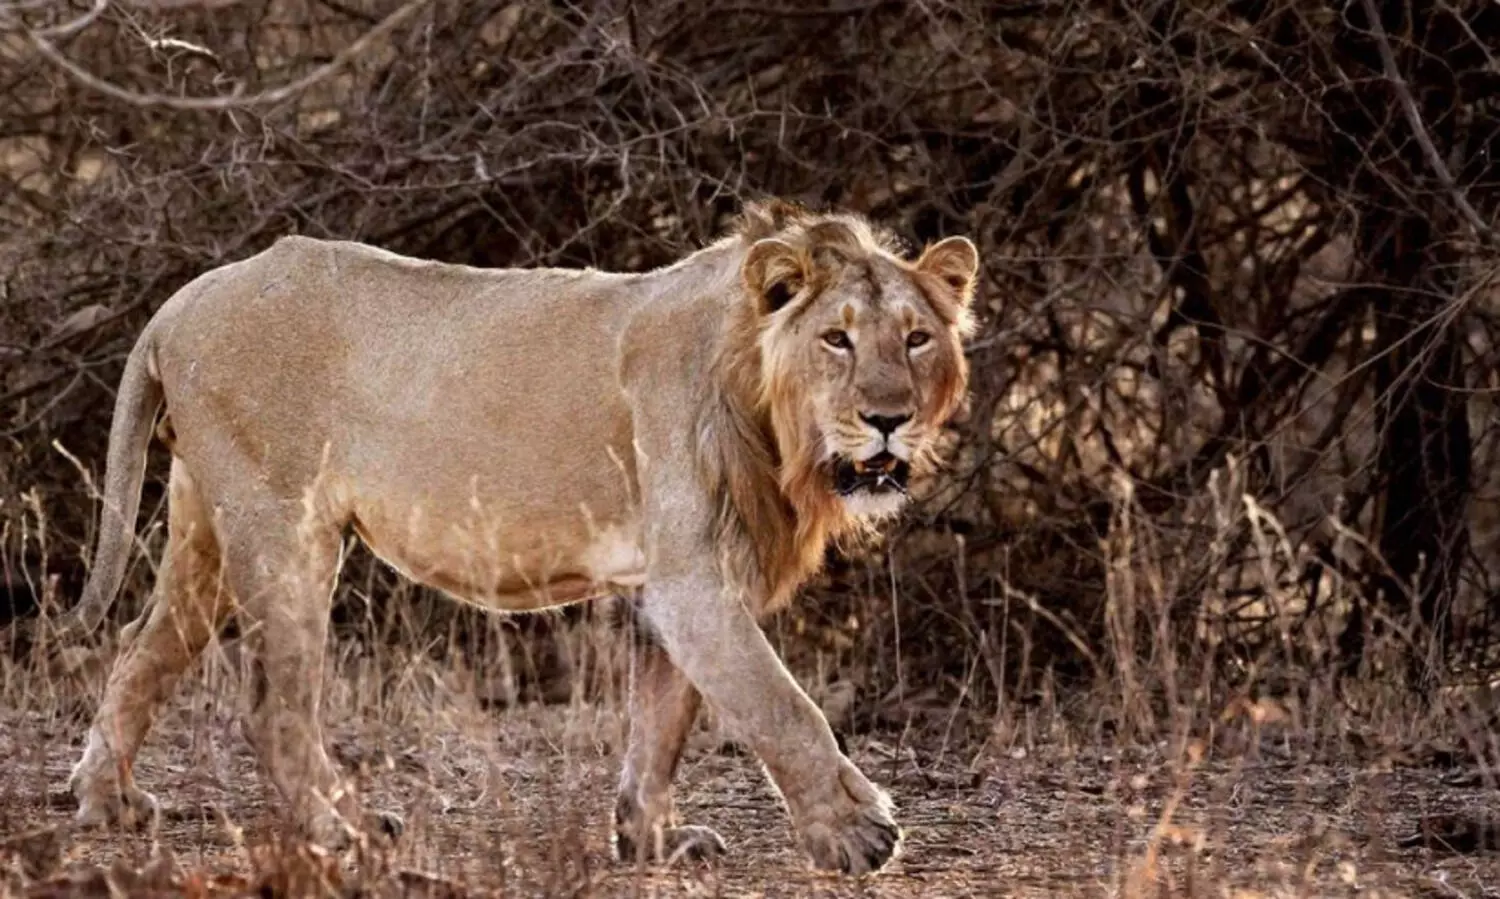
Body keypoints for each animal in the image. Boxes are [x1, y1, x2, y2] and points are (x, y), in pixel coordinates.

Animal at [60, 199, 979, 875]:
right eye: (837, 338)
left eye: (916, 338)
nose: (889, 418)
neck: (764, 404)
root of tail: (182, 301)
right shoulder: (694, 581)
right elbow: (783, 706)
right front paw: (856, 832)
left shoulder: (673, 583)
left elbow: (664, 717)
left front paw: (648, 837)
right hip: (281, 525)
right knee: (271, 703)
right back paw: (338, 828)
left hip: (206, 531)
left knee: (140, 647)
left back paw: (109, 800)